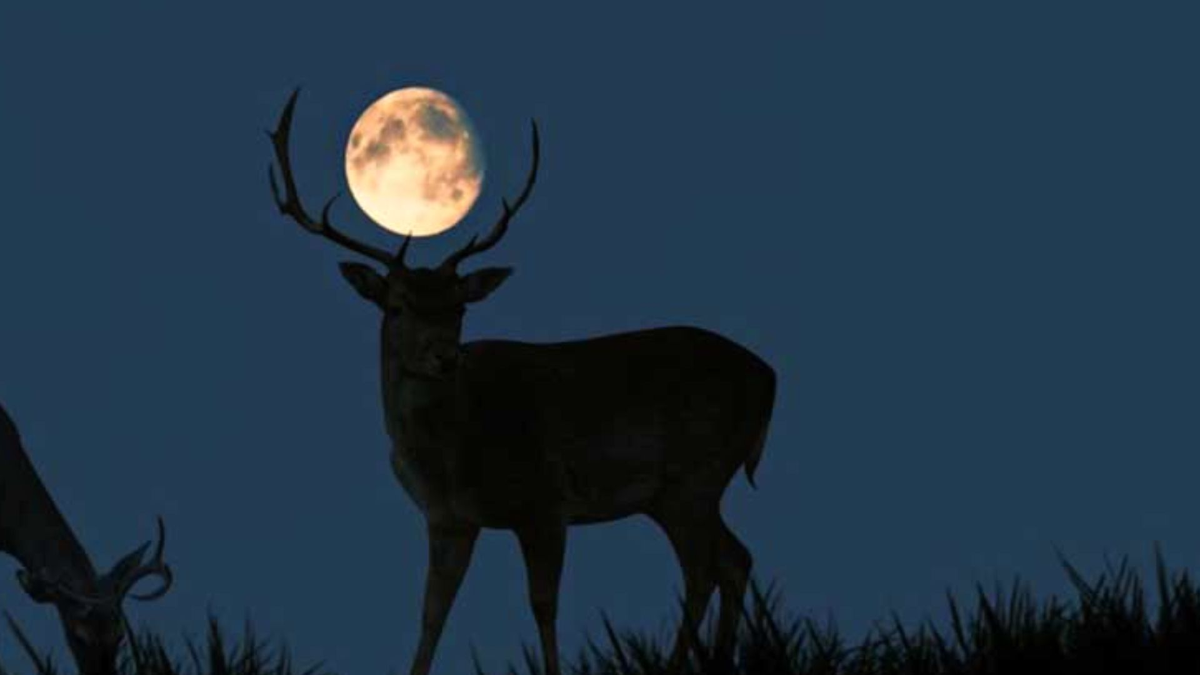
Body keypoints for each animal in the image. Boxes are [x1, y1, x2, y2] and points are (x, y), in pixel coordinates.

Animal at [267, 89, 777, 675]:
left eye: (460, 307)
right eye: (396, 306)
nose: (444, 357)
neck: (452, 454)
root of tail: (770, 377)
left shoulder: (545, 502)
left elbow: (543, 605)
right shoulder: (447, 519)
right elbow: (431, 614)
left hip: (696, 473)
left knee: (704, 568)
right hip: (675, 492)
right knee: (733, 559)